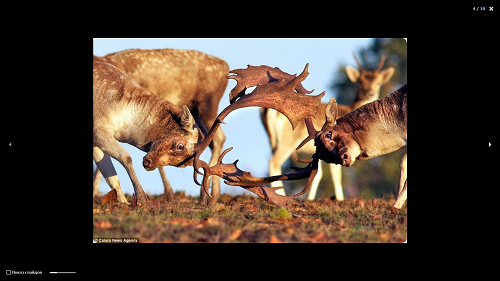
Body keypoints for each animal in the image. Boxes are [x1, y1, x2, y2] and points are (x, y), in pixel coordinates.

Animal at [92, 48, 229, 203]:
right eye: (180, 146)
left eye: (182, 163)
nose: (148, 163)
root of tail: (226, 66)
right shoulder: (98, 129)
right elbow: (122, 161)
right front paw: (138, 198)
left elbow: (112, 174)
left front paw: (126, 201)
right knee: (217, 139)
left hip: (207, 107)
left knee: (218, 139)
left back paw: (208, 197)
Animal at [258, 53, 394, 199]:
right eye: (360, 82)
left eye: (378, 82)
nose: (370, 92)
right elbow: (336, 174)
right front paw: (340, 199)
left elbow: (318, 173)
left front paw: (310, 198)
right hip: (288, 140)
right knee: (274, 162)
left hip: (272, 140)